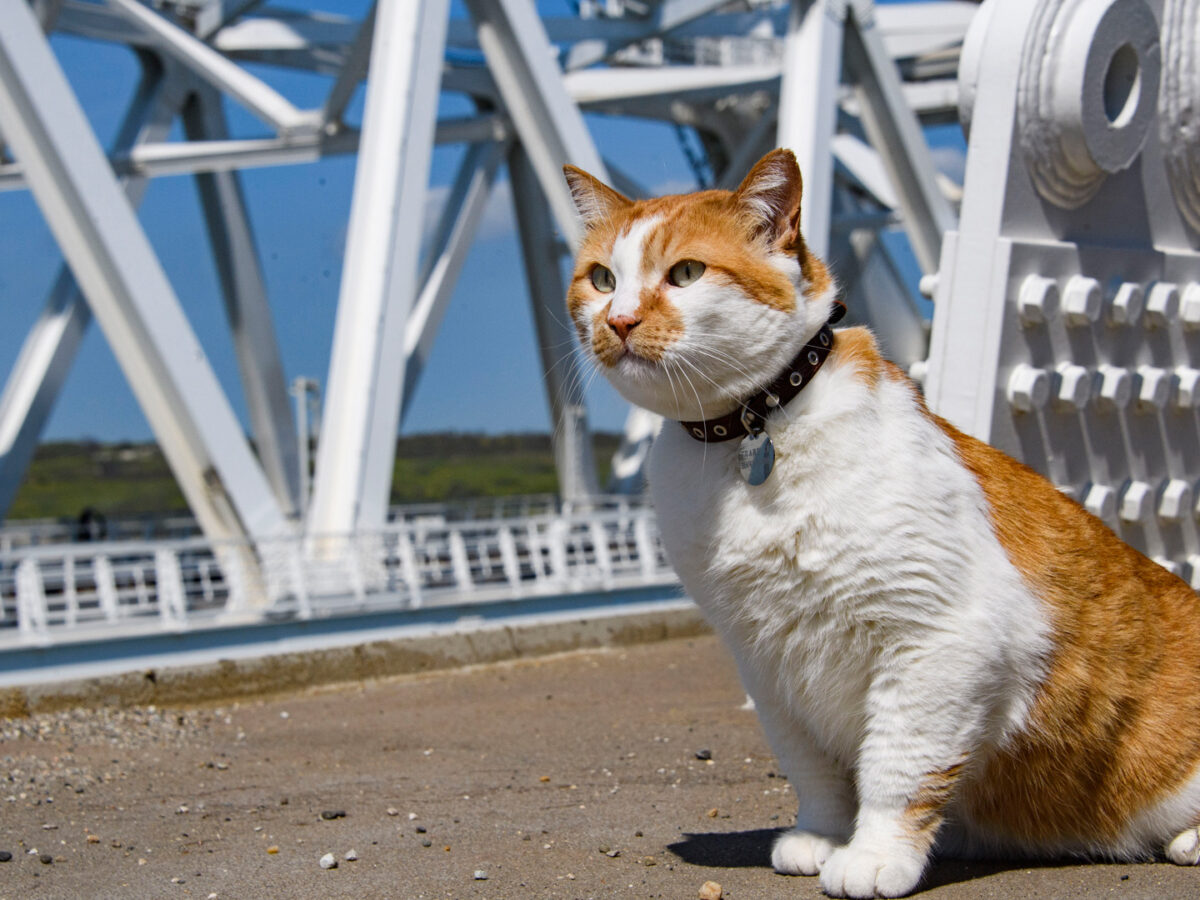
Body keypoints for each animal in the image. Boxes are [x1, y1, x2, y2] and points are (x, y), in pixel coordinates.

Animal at [561, 150, 1200, 900]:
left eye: (686, 273)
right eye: (602, 279)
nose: (620, 320)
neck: (750, 431)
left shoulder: (939, 639)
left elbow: (898, 764)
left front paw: (872, 855)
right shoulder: (764, 661)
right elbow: (811, 765)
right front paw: (821, 836)